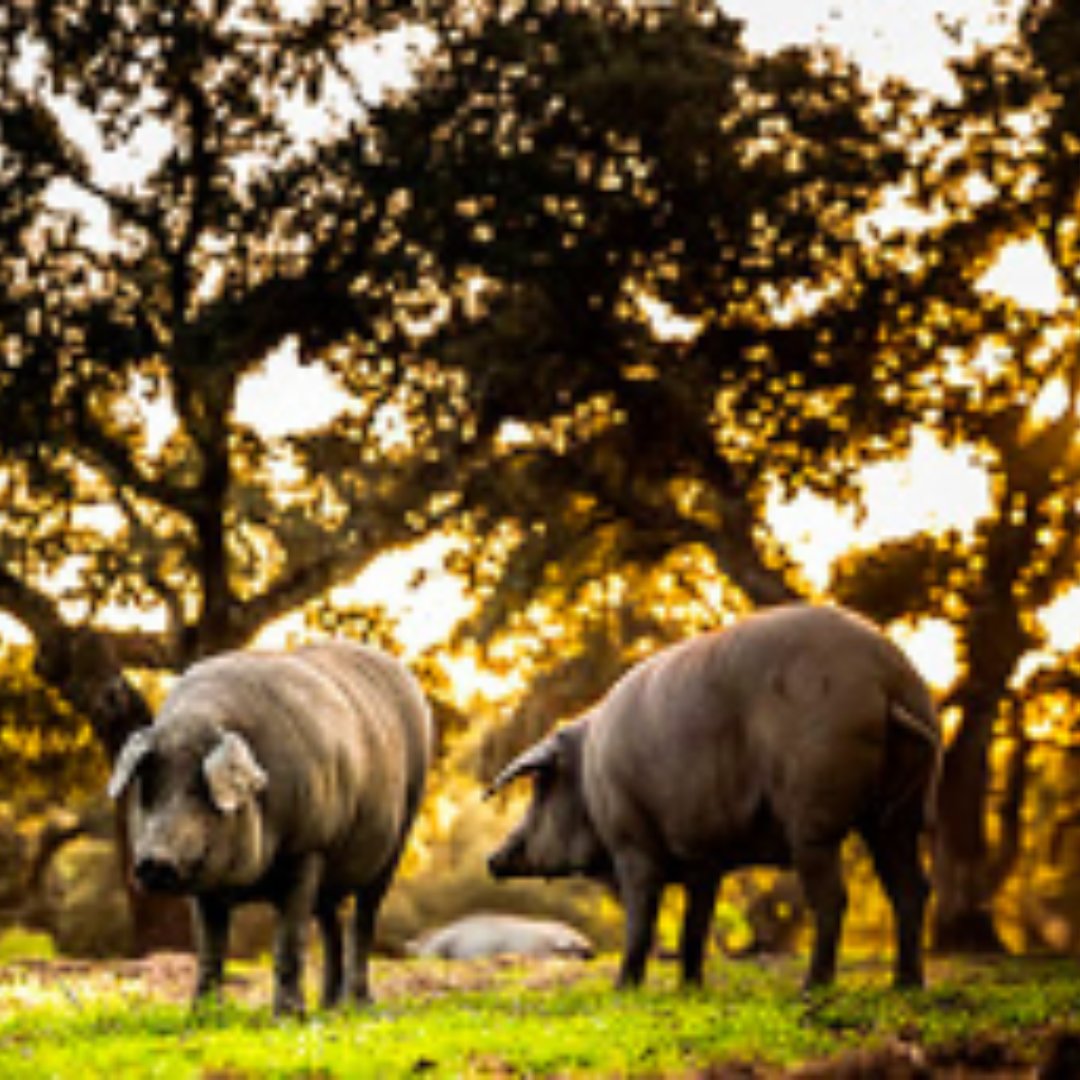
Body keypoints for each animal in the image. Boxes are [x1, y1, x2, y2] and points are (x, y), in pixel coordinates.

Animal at [107, 639, 432, 1010]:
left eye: (200, 791)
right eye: (149, 788)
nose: (154, 861)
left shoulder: (308, 847)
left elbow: (289, 941)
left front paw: (288, 1015)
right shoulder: (206, 885)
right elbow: (210, 948)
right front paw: (200, 1014)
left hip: (398, 834)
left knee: (363, 918)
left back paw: (359, 1005)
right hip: (331, 868)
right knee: (330, 921)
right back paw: (328, 1007)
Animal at [486, 604, 941, 989]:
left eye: (540, 787)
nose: (491, 858)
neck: (588, 774)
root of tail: (886, 681)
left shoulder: (632, 845)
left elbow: (641, 922)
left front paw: (622, 991)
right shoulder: (704, 860)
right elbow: (695, 925)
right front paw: (690, 989)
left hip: (816, 812)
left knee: (833, 896)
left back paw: (812, 988)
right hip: (901, 814)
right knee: (912, 888)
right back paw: (905, 986)